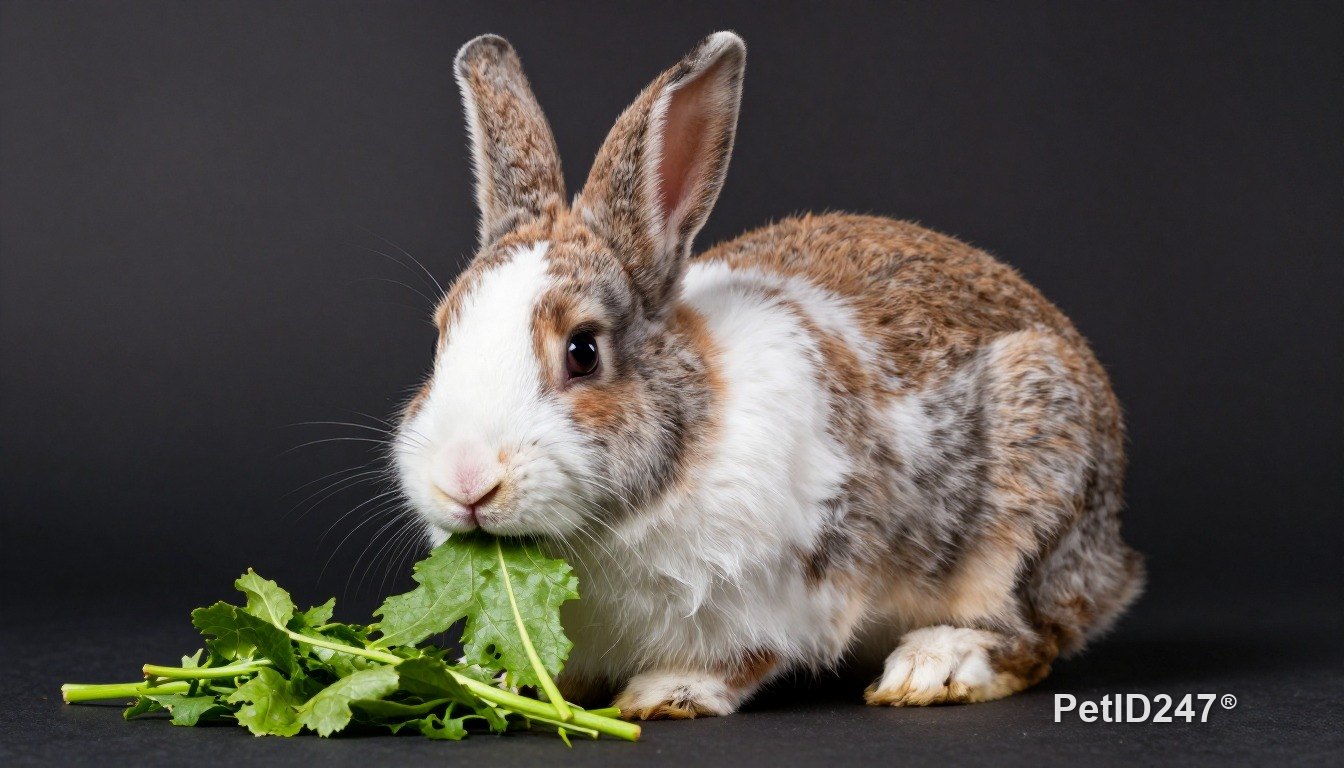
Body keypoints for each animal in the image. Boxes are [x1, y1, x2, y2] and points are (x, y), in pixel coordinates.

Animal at [393, 31, 1145, 719]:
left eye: (583, 351)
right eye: (440, 336)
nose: (465, 481)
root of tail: (1115, 563)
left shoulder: (788, 589)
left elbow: (745, 657)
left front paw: (666, 694)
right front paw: (508, 682)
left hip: (1030, 499)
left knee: (1031, 635)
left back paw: (932, 666)